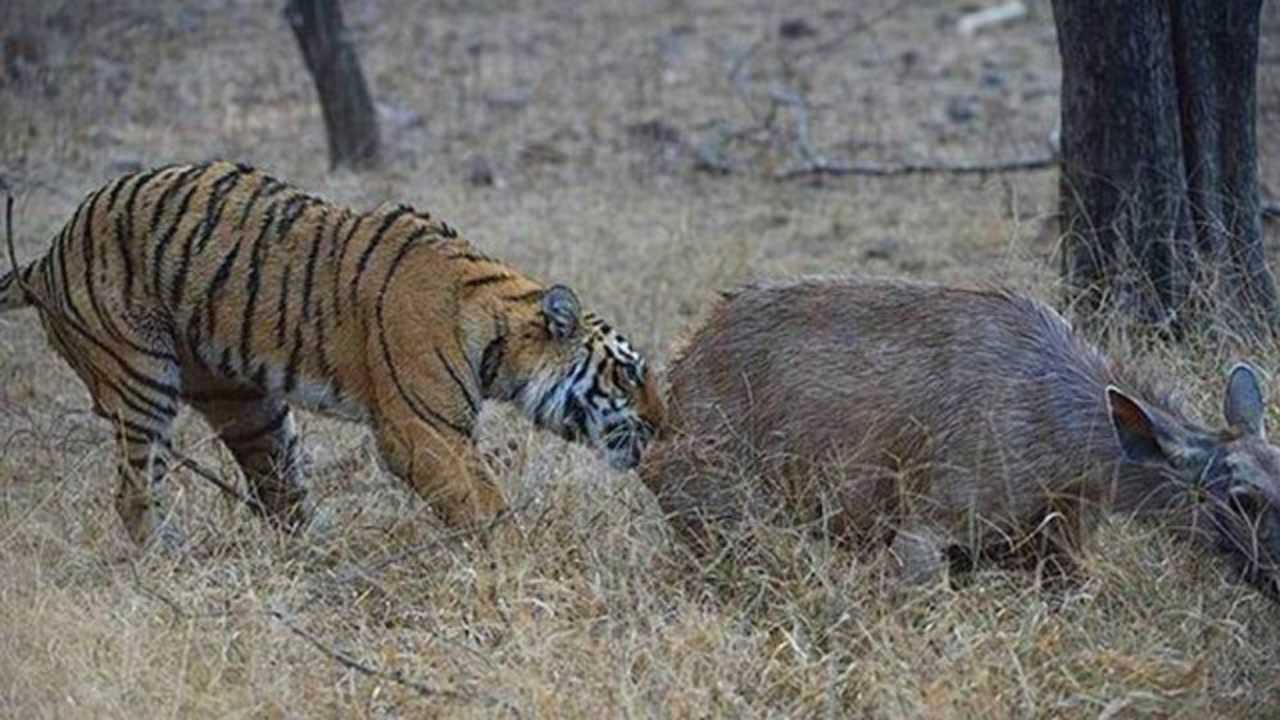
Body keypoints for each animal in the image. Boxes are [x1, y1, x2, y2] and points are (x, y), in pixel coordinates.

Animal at [0, 160, 664, 549]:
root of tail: (46, 255)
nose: (663, 427)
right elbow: (485, 504)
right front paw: (520, 562)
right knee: (135, 492)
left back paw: (325, 557)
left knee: (280, 494)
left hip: (252, 407)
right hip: (141, 379)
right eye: (628, 374)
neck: (497, 328)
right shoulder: (420, 430)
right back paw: (168, 563)